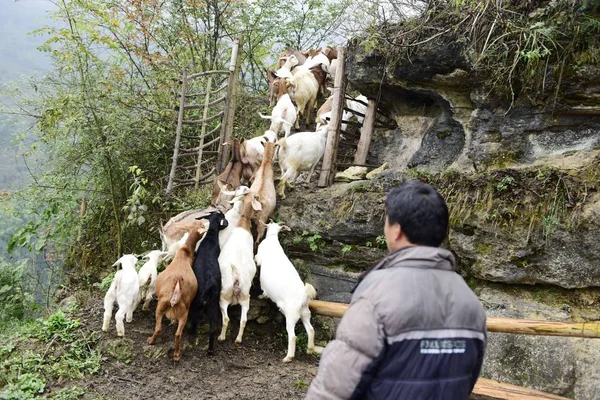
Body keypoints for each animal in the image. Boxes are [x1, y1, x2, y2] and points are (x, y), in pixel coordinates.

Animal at [146, 220, 207, 360]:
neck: (185, 252)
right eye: (198, 223)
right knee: (178, 334)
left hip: (161, 307)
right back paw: (177, 354)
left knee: (159, 328)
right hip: (184, 313)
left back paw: (151, 340)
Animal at [191, 209, 229, 354]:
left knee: (194, 322)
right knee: (211, 328)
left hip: (197, 304)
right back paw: (210, 350)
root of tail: (207, 290)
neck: (210, 237)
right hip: (212, 305)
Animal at [254, 222, 318, 362]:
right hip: (305, 312)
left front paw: (261, 296)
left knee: (293, 336)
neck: (272, 238)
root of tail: (304, 296)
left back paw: (288, 357)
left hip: (291, 315)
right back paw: (310, 349)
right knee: (311, 329)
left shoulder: (259, 257)